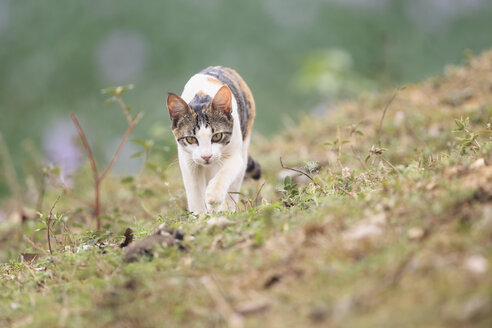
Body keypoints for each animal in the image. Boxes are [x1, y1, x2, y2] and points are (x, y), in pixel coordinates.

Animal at [167, 68, 262, 214]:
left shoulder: (235, 151)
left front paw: (214, 195)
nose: (206, 156)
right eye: (191, 139)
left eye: (217, 136)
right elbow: (194, 190)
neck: (201, 96)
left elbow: (226, 171)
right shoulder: (188, 161)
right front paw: (199, 214)